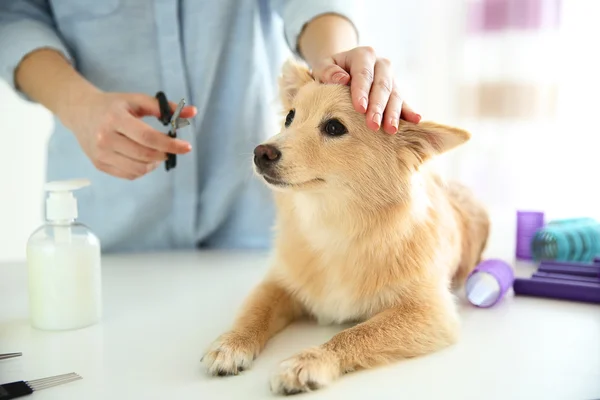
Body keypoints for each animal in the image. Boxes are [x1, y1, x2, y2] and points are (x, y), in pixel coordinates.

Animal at [202, 57, 492, 396]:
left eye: (334, 128)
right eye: (289, 118)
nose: (261, 151)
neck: (333, 225)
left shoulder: (430, 312)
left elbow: (356, 333)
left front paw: (311, 360)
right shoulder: (278, 282)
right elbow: (254, 311)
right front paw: (232, 343)